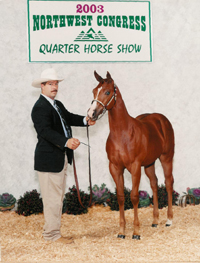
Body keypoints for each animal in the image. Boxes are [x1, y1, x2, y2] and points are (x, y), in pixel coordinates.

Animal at [88, 71, 175, 240]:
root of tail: (161, 119)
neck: (122, 134)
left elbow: (134, 196)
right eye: (94, 91)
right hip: (149, 164)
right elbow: (121, 197)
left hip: (166, 158)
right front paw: (122, 232)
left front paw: (136, 232)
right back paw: (155, 221)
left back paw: (169, 220)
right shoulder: (115, 168)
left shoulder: (135, 167)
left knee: (168, 183)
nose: (91, 114)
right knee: (154, 184)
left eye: (107, 92)